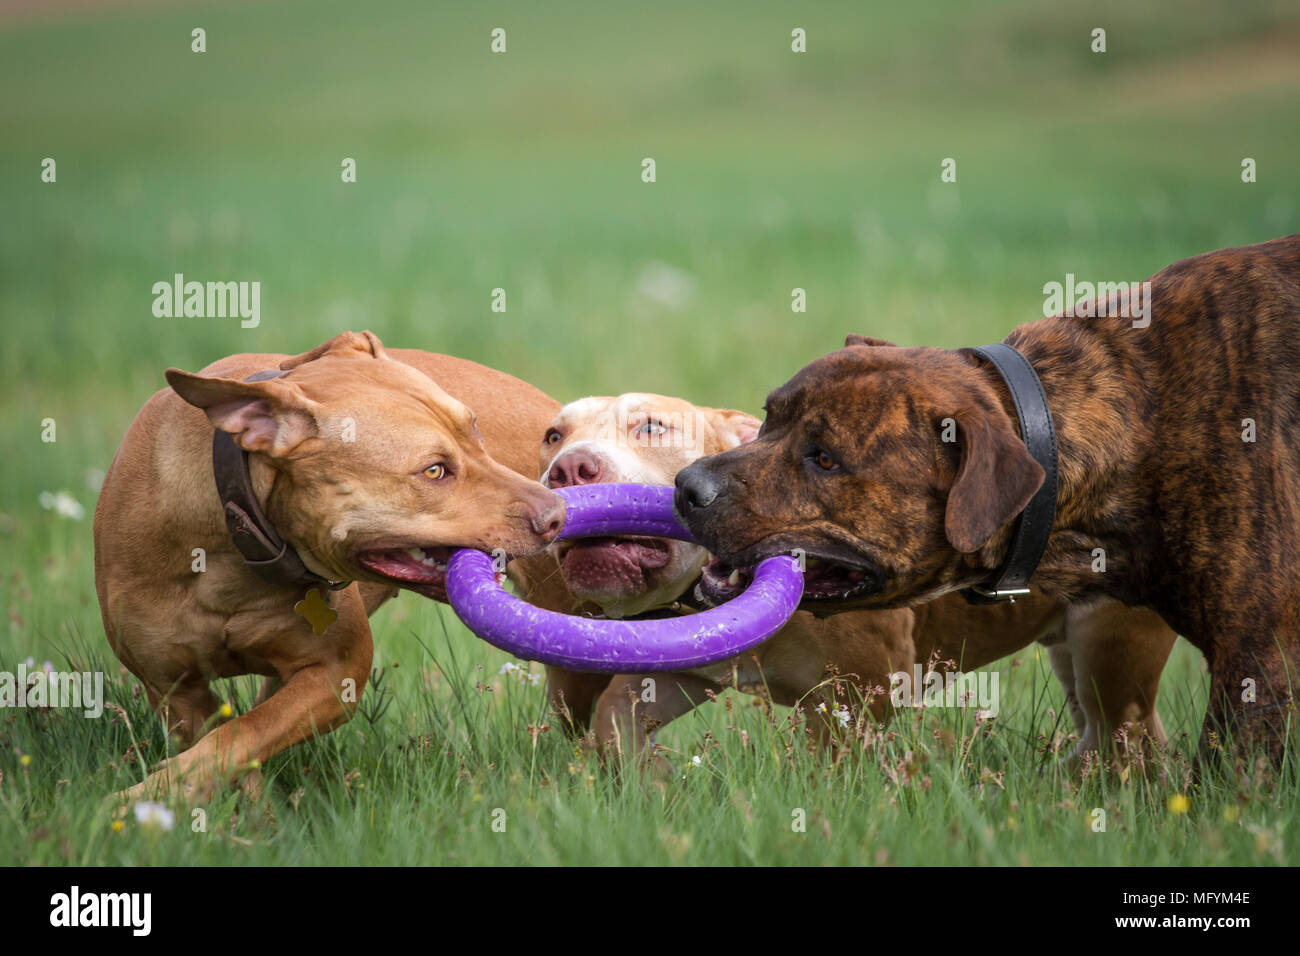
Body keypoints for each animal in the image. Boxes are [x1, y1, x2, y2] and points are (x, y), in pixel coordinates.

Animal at [94, 329, 564, 801]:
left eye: (475, 429)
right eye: (434, 471)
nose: (557, 514)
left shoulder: (336, 675)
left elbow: (241, 735)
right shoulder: (176, 691)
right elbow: (228, 747)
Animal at [533, 392, 1175, 759]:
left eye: (651, 427)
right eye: (553, 435)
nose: (569, 467)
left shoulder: (863, 691)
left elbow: (830, 767)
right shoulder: (681, 672)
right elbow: (615, 718)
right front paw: (654, 784)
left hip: (1111, 651)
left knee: (1126, 734)